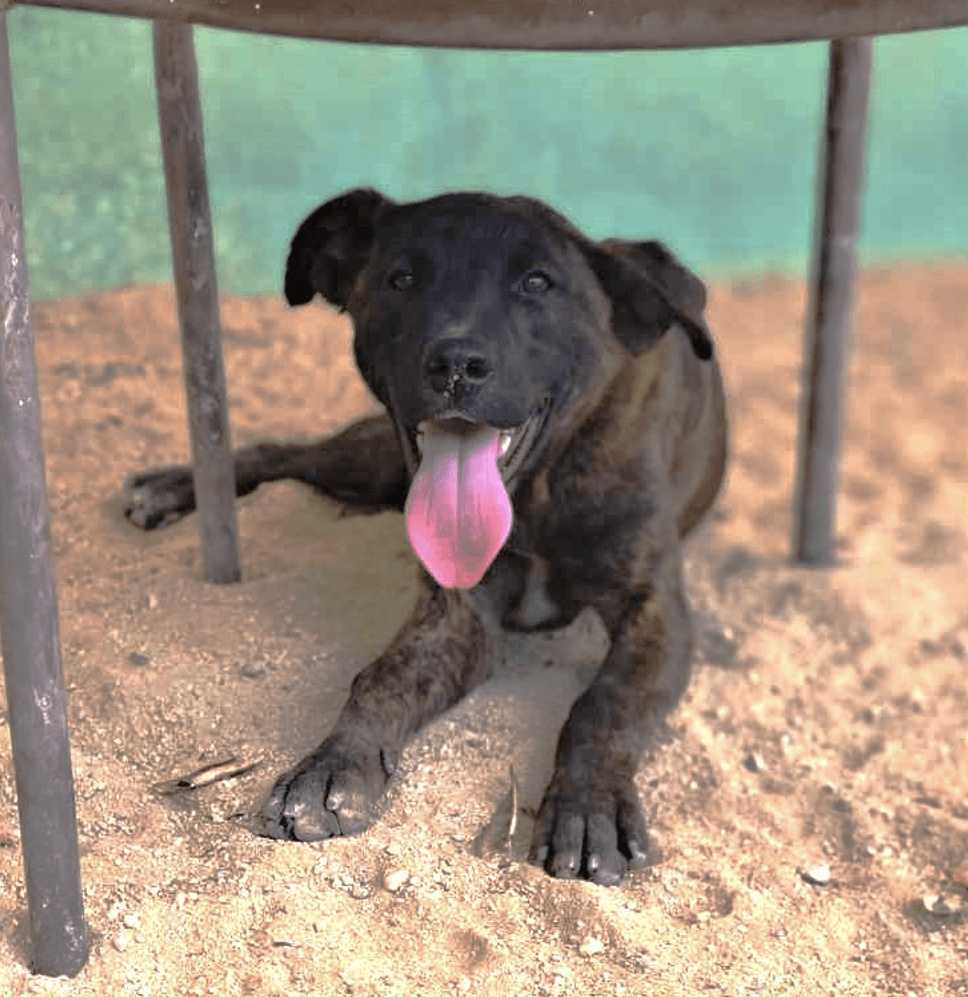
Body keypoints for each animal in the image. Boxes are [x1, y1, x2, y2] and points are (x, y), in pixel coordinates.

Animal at [123, 189, 728, 888]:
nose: (455, 366)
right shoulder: (456, 612)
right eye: (402, 279)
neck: (538, 491)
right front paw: (332, 769)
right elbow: (383, 677)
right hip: (374, 458)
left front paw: (589, 804)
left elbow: (605, 704)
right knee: (287, 453)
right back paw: (169, 488)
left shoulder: (656, 612)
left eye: (538, 282)